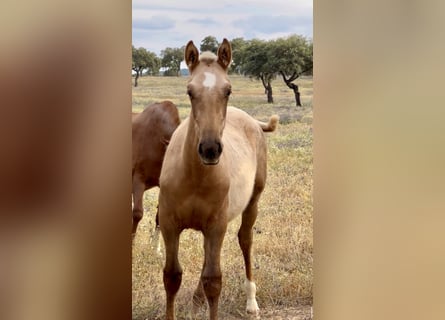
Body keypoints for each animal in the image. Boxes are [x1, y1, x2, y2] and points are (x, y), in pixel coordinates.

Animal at [157, 38, 278, 318]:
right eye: (190, 91)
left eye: (228, 90)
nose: (210, 149)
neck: (194, 176)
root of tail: (252, 121)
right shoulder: (169, 224)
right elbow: (171, 276)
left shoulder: (216, 226)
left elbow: (214, 281)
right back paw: (197, 298)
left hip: (252, 201)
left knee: (245, 240)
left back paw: (251, 302)